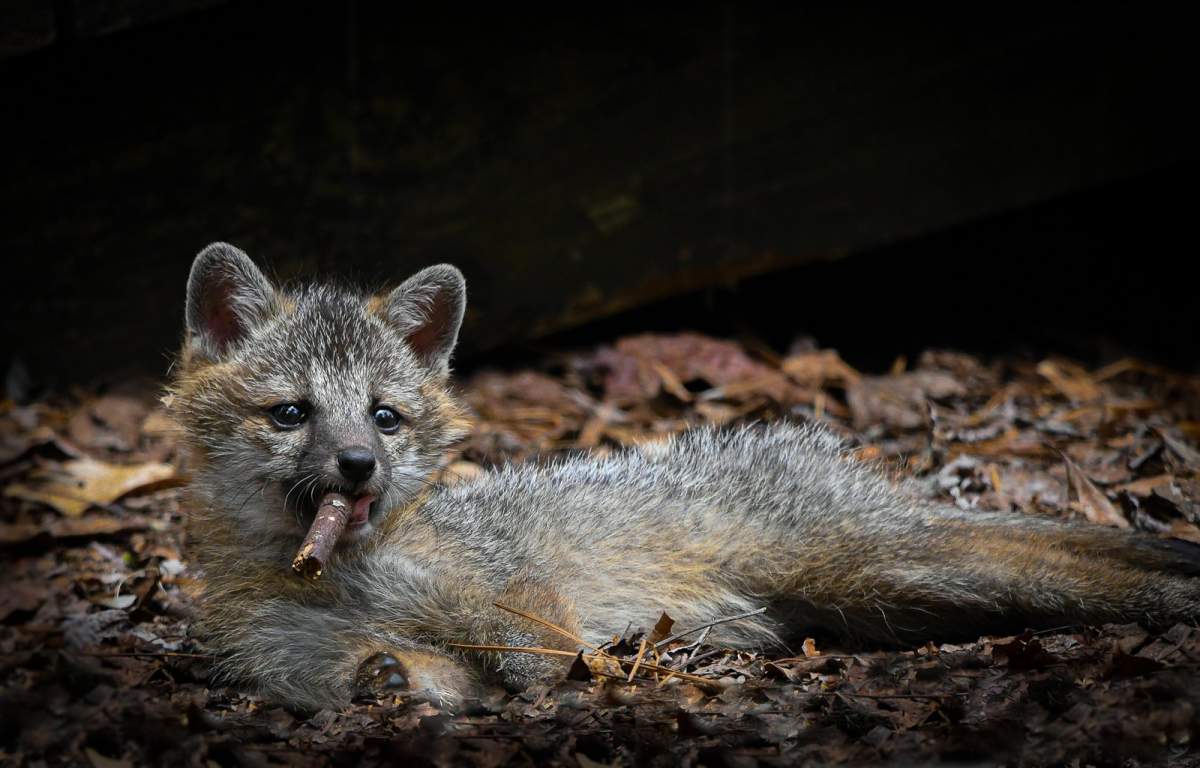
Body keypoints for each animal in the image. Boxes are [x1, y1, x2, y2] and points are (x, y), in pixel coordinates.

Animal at [168, 242, 1200, 712]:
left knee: (1077, 568)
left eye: (384, 416)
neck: (346, 575)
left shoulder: (516, 599)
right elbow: (399, 674)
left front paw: (582, 684)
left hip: (889, 569)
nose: (358, 463)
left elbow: (539, 655)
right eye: (292, 414)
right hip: (884, 598)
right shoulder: (315, 664)